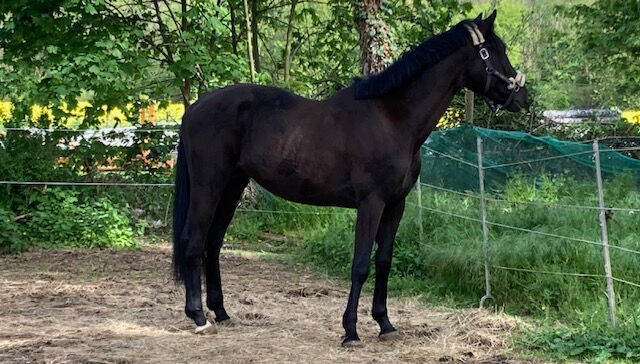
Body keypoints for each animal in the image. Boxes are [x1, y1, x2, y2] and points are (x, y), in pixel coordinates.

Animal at [171, 10, 524, 346]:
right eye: (495, 51)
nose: (523, 97)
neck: (392, 120)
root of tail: (194, 109)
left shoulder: (396, 205)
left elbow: (383, 261)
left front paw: (385, 324)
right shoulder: (371, 203)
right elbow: (360, 265)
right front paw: (351, 330)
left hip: (233, 186)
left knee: (213, 242)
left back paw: (221, 312)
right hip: (208, 185)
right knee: (194, 241)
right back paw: (199, 317)